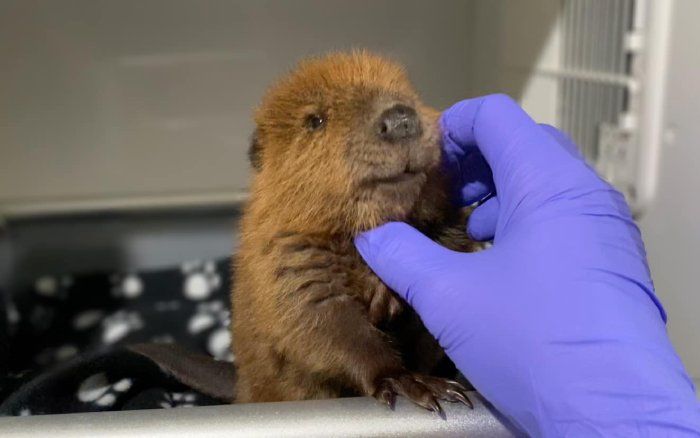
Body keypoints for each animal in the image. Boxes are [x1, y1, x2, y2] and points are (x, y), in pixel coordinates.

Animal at [232, 49, 478, 412]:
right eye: (315, 120)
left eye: (407, 91)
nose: (400, 119)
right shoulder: (286, 257)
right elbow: (326, 325)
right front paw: (411, 384)